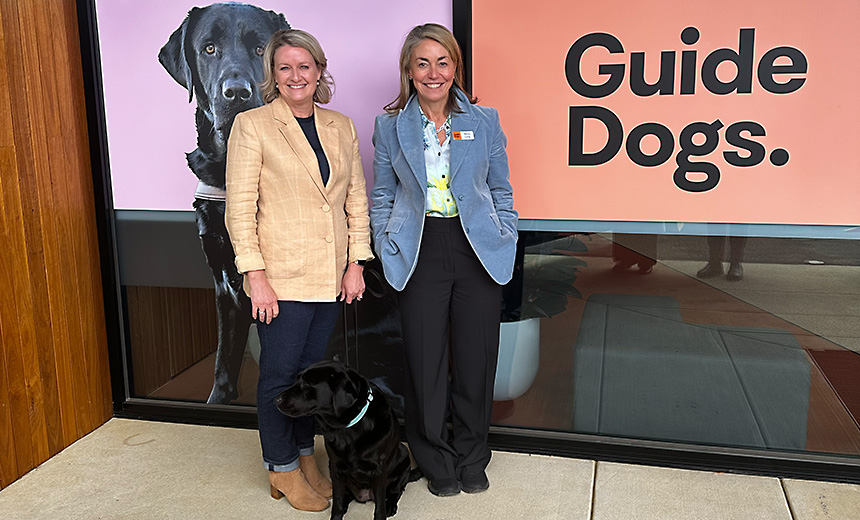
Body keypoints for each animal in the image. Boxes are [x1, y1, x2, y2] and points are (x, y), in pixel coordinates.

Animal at [278, 362, 422, 520]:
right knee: (345, 498)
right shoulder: (336, 468)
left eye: (306, 383)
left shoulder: (378, 471)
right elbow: (337, 503)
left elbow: (379, 508)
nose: (276, 399)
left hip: (403, 456)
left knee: (396, 491)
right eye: (298, 379)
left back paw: (391, 505)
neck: (346, 429)